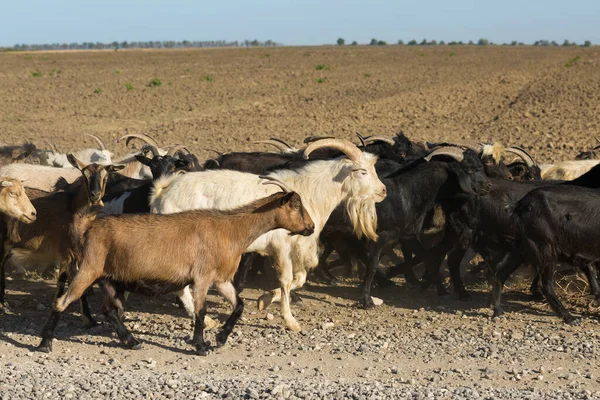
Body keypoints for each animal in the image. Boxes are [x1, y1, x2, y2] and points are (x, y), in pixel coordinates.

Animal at [149, 138, 384, 332]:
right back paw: (204, 319)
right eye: (363, 172)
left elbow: (300, 278)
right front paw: (290, 321)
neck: (309, 192)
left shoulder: (296, 246)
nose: (383, 191)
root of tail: (162, 192)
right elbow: (287, 280)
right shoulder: (282, 246)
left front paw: (265, 299)